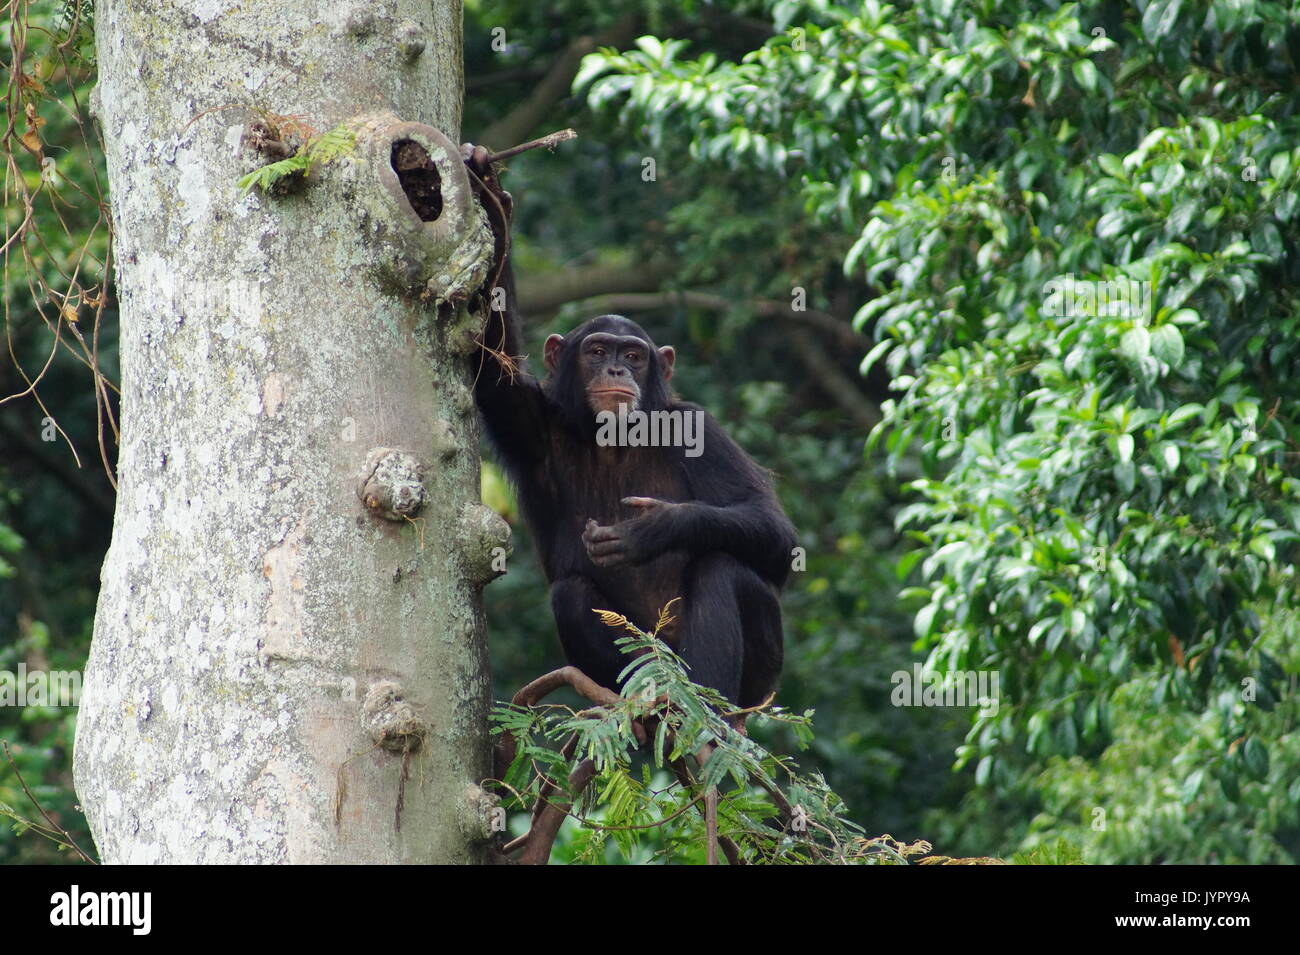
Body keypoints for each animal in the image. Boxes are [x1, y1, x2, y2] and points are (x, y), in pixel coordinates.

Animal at [462, 143, 795, 712]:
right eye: (597, 352)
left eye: (634, 356)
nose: (617, 370)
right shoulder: (530, 424)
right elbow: (492, 361)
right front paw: (487, 185)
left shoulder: (698, 427)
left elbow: (772, 528)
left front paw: (654, 528)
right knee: (572, 594)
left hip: (761, 681)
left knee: (722, 565)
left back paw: (704, 710)